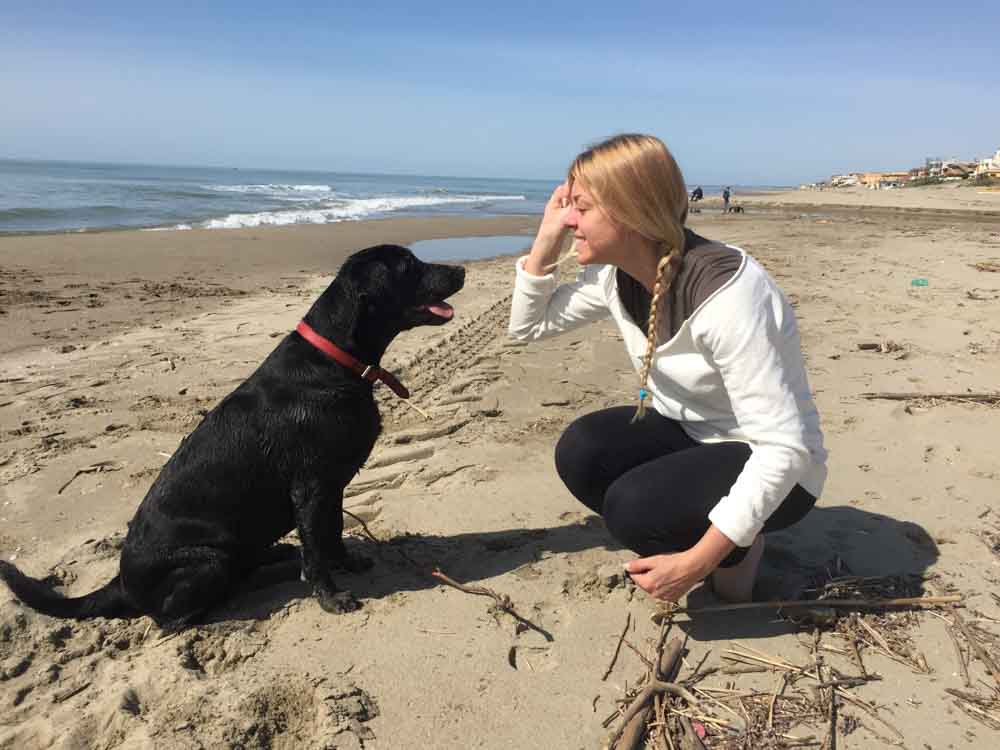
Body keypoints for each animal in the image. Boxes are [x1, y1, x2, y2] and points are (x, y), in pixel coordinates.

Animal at [0, 245, 466, 628]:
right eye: (410, 266)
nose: (461, 269)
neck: (335, 361)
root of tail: (120, 583)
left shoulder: (331, 486)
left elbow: (331, 534)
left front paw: (347, 564)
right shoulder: (311, 487)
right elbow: (317, 550)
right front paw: (331, 598)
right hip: (209, 560)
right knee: (172, 619)